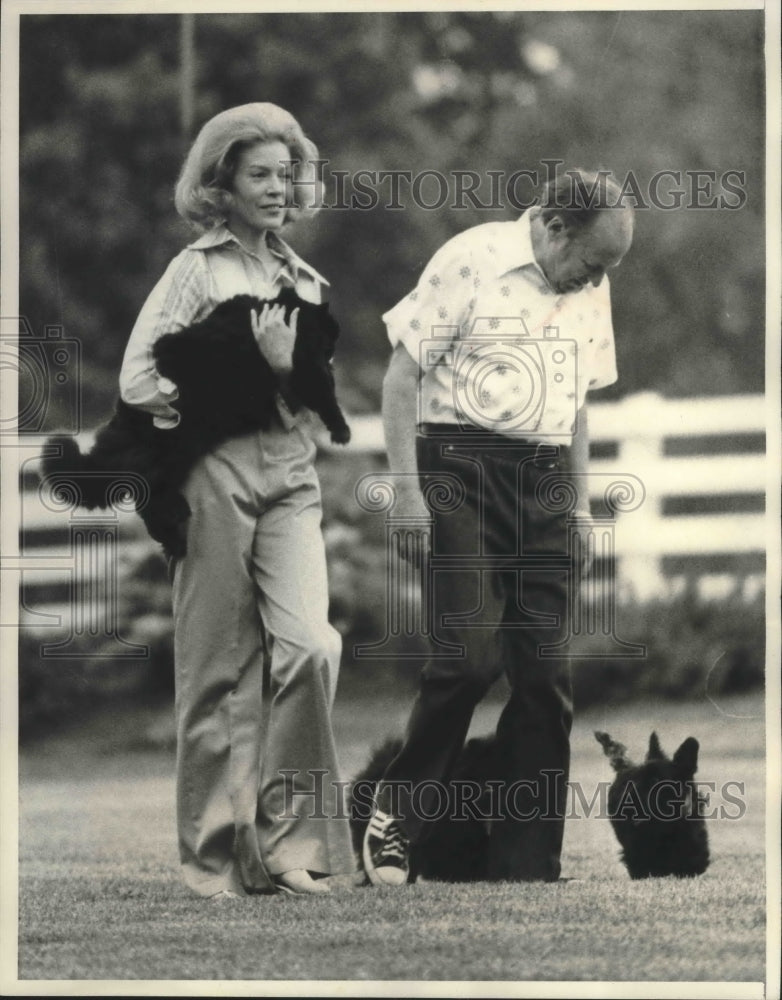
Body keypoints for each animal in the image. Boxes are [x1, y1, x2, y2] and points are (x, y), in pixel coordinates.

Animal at [41, 290, 350, 560]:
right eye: (331, 336)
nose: (333, 353)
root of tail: (123, 419)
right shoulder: (308, 368)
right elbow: (328, 399)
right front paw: (342, 432)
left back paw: (173, 538)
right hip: (173, 454)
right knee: (150, 501)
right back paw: (175, 540)